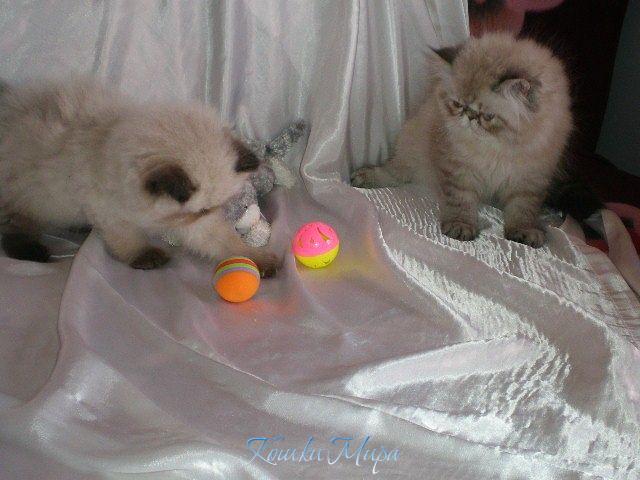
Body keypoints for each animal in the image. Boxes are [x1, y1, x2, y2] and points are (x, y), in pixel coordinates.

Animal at [0, 78, 280, 274]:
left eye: (210, 210)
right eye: (199, 211)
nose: (205, 216)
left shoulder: (199, 226)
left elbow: (227, 244)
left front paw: (260, 260)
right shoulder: (110, 213)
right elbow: (129, 241)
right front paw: (147, 257)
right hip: (24, 198)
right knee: (17, 225)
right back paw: (33, 251)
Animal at [352, 33, 573, 248]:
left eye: (488, 116)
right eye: (458, 104)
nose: (469, 116)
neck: (497, 148)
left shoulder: (530, 179)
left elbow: (522, 209)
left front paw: (524, 232)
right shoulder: (459, 169)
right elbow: (461, 201)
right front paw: (460, 227)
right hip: (411, 146)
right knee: (395, 172)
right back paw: (364, 178)